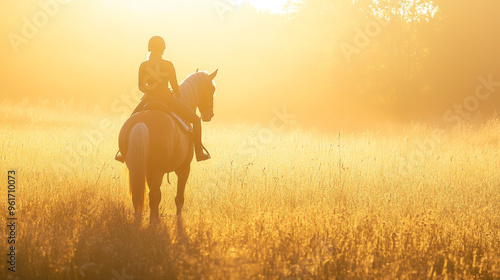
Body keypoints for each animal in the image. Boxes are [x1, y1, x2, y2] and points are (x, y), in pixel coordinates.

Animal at [119, 69, 219, 219]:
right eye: (212, 89)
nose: (209, 115)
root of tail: (141, 123)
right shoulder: (184, 168)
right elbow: (179, 198)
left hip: (136, 168)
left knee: (138, 198)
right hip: (158, 171)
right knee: (153, 196)